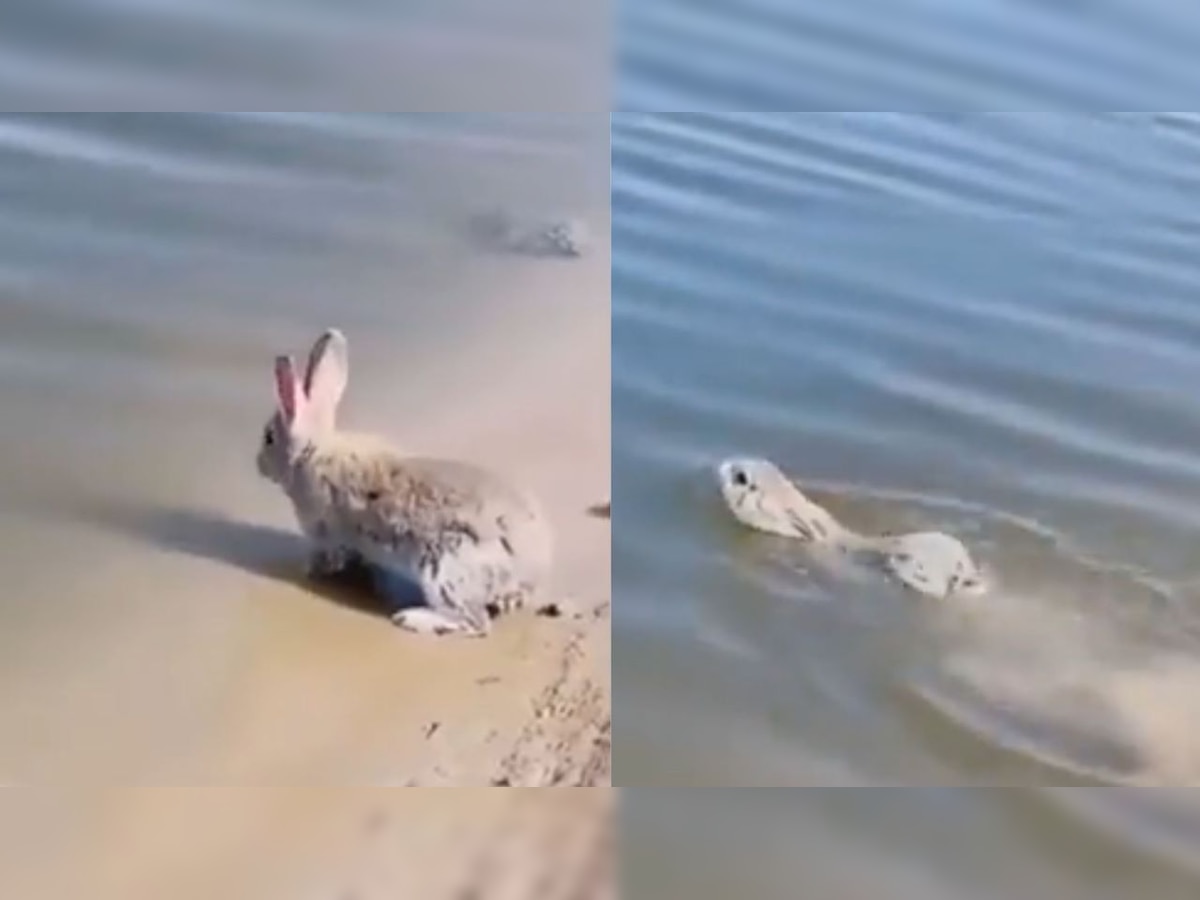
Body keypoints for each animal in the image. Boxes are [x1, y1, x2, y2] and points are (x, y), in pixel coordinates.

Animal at [256, 328, 552, 638]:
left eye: (269, 437)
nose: (259, 463)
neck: (313, 451)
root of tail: (532, 568)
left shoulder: (326, 530)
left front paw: (311, 569)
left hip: (445, 571)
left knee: (474, 621)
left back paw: (411, 618)